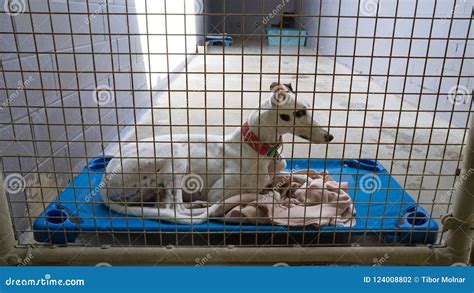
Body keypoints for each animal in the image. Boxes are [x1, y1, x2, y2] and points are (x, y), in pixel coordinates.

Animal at [99, 82, 334, 224]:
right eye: (300, 112)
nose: (330, 136)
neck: (257, 146)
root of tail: (104, 179)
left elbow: (297, 176)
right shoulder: (219, 192)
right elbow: (264, 194)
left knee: (164, 204)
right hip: (176, 154)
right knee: (176, 208)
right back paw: (204, 209)